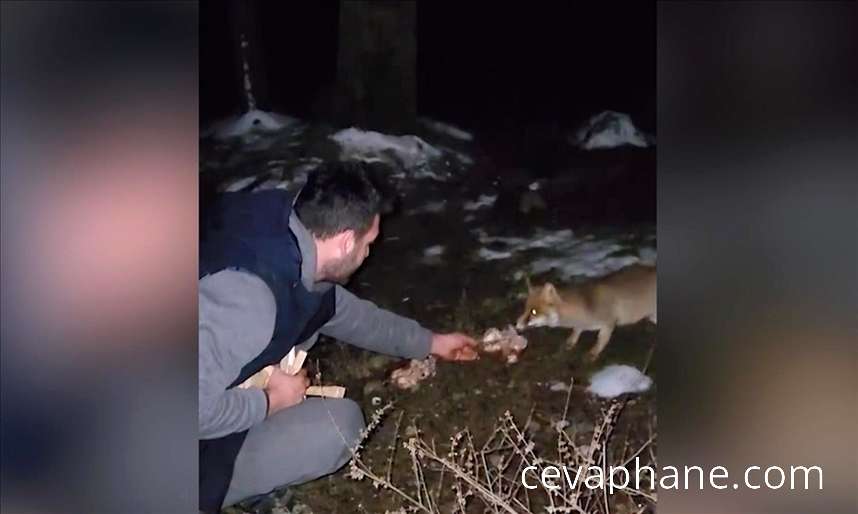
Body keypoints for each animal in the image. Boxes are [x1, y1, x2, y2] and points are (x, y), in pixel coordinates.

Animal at [516, 264, 656, 360]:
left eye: (534, 312)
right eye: (525, 309)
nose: (516, 326)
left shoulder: (608, 323)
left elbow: (601, 340)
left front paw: (593, 353)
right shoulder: (581, 325)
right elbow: (576, 331)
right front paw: (570, 342)